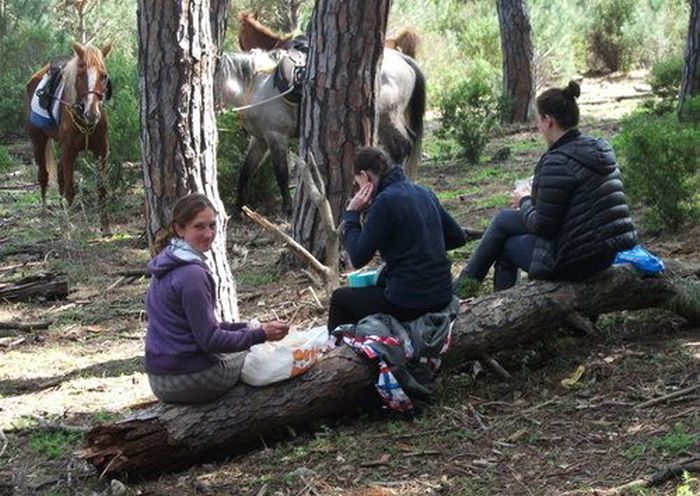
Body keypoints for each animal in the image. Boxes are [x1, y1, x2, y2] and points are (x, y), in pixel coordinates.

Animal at [26, 41, 113, 232]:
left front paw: (105, 227)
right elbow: (70, 189)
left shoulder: (101, 150)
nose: (92, 113)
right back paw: (45, 212)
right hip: (38, 140)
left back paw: (62, 210)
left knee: (59, 174)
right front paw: (71, 225)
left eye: (103, 76)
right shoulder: (69, 150)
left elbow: (101, 188)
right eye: (80, 75)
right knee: (43, 175)